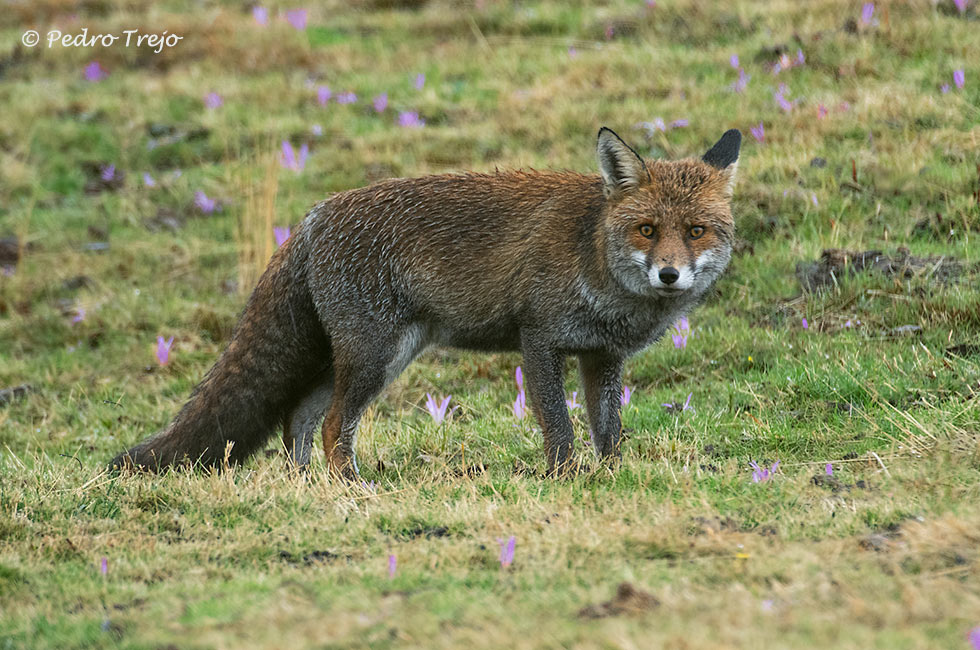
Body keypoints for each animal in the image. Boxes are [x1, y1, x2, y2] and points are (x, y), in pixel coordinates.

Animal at [111, 125, 740, 476]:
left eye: (696, 231)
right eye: (647, 230)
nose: (669, 275)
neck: (595, 259)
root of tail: (312, 217)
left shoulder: (602, 357)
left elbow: (607, 431)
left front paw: (610, 479)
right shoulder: (539, 339)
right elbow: (559, 427)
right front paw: (568, 481)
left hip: (363, 359)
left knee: (298, 419)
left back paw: (306, 486)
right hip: (373, 358)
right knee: (333, 425)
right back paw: (354, 488)